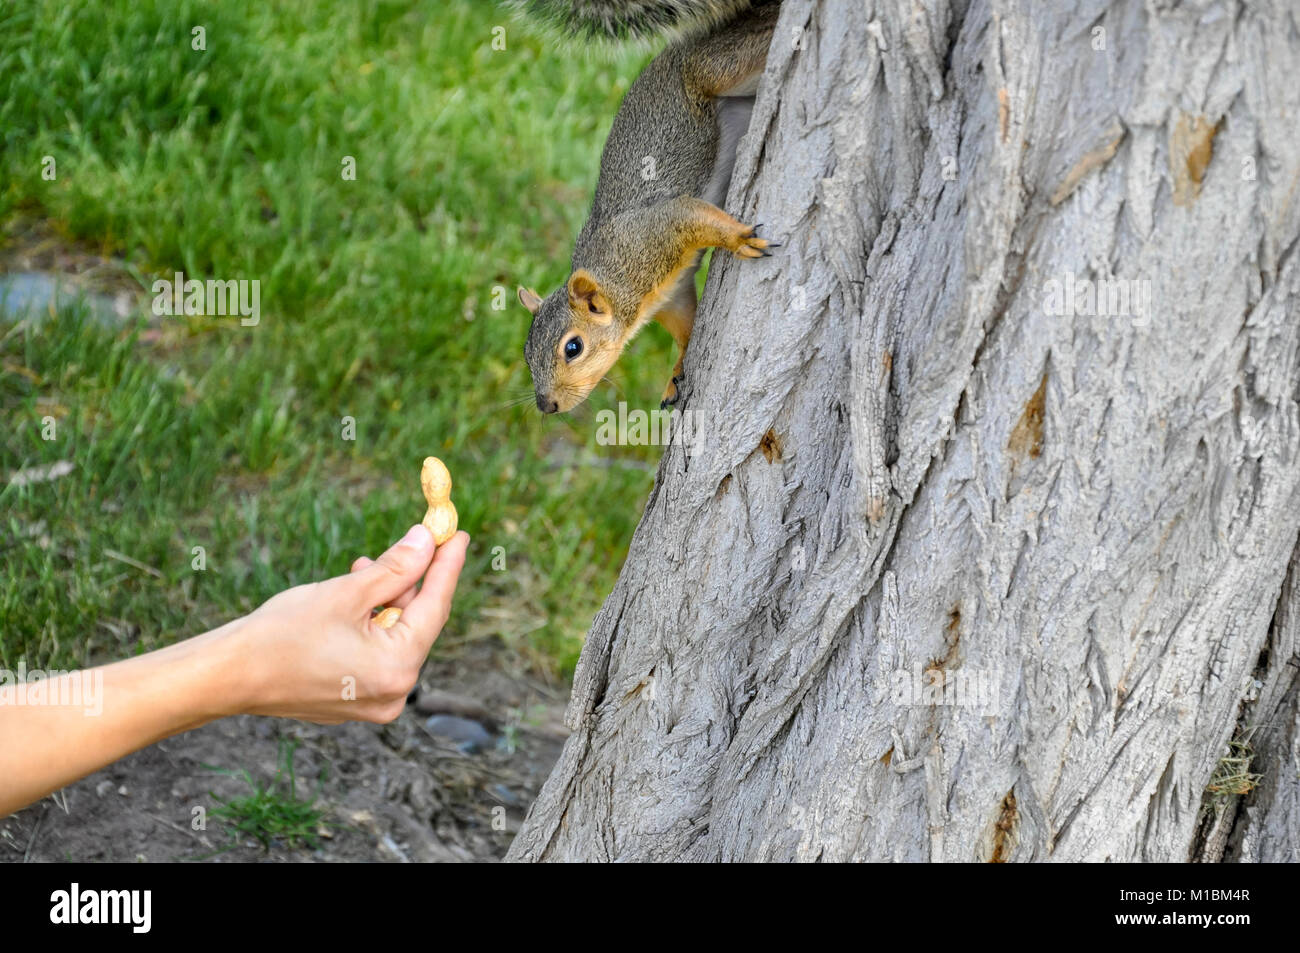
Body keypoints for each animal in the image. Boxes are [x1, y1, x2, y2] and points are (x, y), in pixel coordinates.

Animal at [515, 0, 781, 414]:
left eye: (573, 347)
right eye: (527, 354)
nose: (547, 406)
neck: (620, 279)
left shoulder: (660, 226)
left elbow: (694, 214)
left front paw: (740, 239)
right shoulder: (674, 296)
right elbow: (686, 329)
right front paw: (676, 372)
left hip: (715, 69)